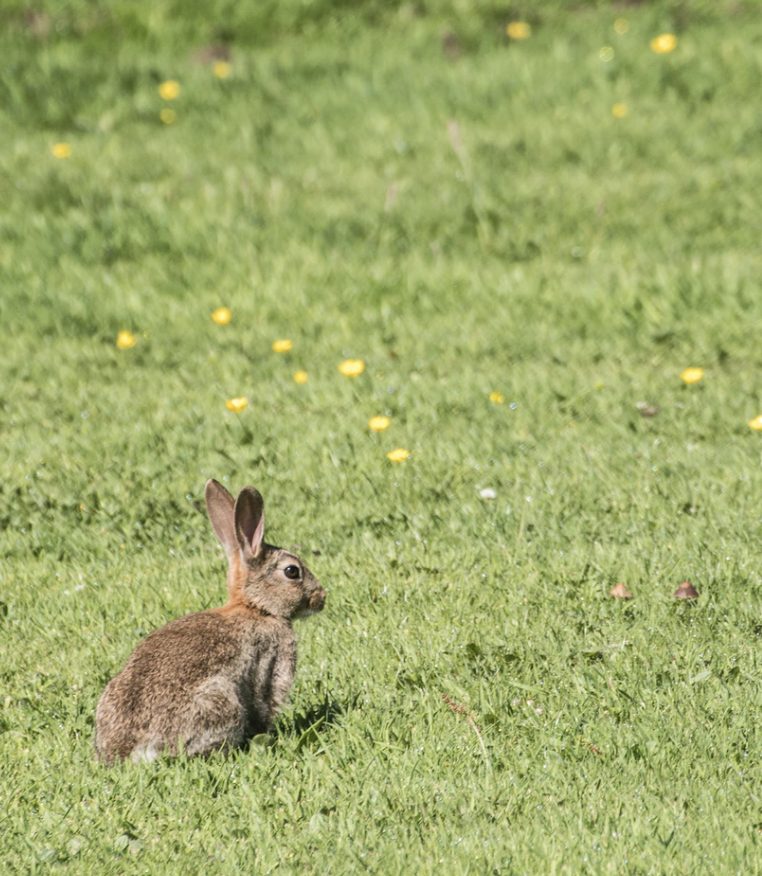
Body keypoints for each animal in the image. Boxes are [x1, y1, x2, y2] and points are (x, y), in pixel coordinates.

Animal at [93, 476, 326, 764]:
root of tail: (132, 751)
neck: (255, 607)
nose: (321, 598)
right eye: (292, 571)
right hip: (220, 702)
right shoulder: (271, 662)